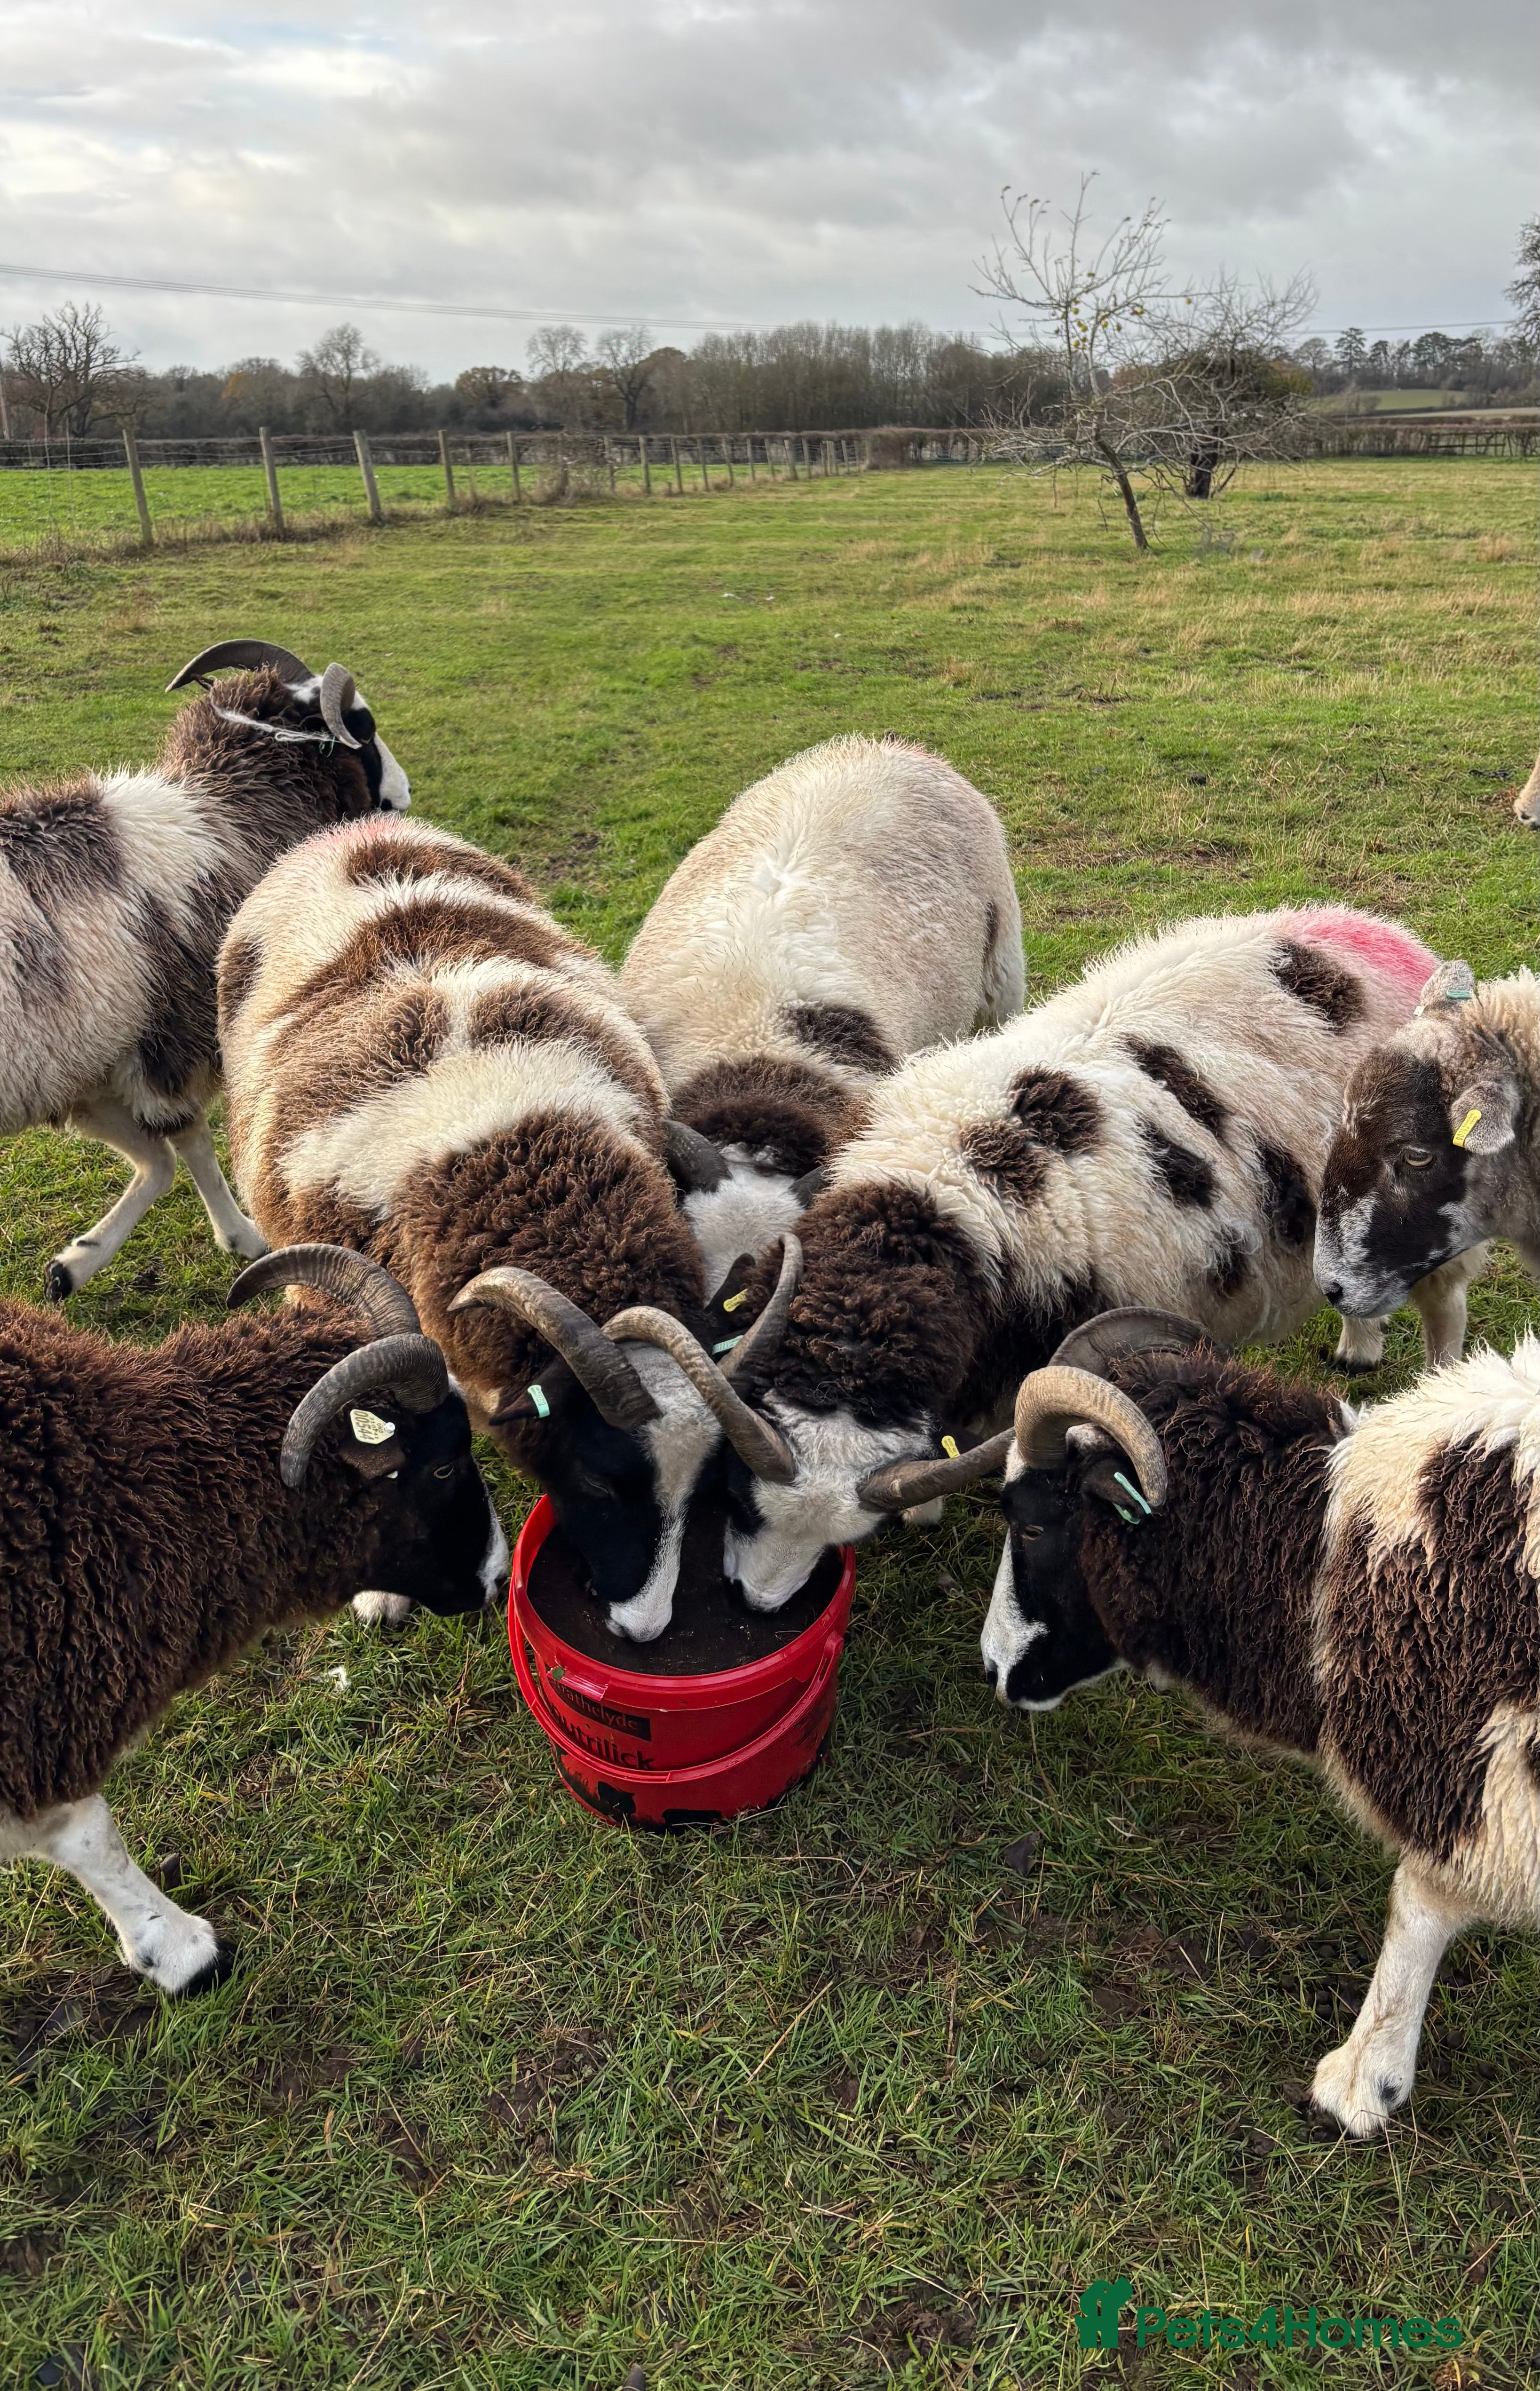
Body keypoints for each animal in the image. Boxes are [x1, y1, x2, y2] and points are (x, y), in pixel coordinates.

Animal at [0, 637, 409, 1300]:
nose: (402, 799)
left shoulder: (85, 1067)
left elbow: (157, 1160)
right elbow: (191, 1145)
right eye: (363, 726)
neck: (226, 815)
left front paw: (74, 1264)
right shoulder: (175, 1040)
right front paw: (243, 1237)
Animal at [217, 812, 787, 1641]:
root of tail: (358, 830)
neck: (507, 1152)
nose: (642, 1631)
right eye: (597, 1479)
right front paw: (381, 1595)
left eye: (705, 1483)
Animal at [642, 905, 1453, 1615]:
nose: (754, 1604)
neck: (940, 1205)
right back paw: (1355, 1345)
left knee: (1443, 1304)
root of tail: (1383, 934)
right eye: (738, 1496)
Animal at [966, 1309, 1539, 2138]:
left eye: (1032, 1524)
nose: (991, 1667)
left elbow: (1418, 1904)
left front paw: (1364, 2077)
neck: (1324, 1555)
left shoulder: (1465, 1764)